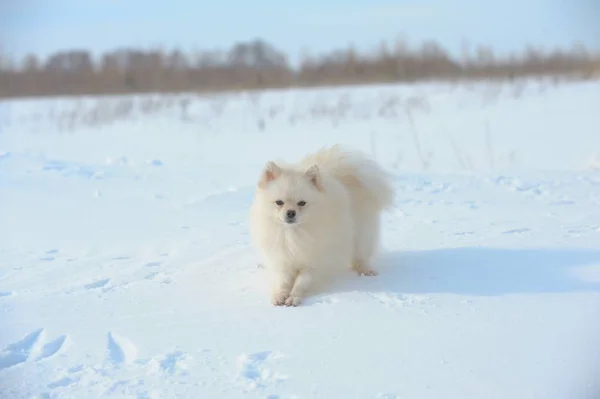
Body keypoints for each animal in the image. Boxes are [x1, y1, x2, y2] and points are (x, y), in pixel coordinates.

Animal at [248, 145, 394, 308]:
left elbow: (301, 282)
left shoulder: (314, 262)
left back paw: (365, 270)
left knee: (361, 255)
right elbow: (283, 282)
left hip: (362, 234)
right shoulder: (283, 260)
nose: (291, 212)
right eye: (279, 202)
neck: (293, 234)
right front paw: (280, 295)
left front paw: (294, 297)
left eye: (302, 203)